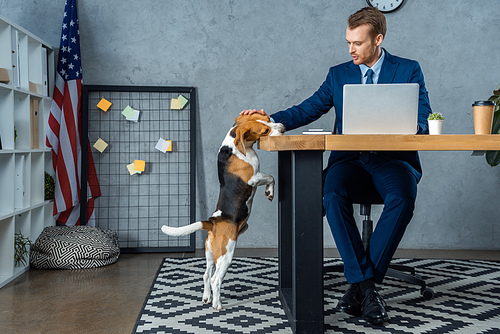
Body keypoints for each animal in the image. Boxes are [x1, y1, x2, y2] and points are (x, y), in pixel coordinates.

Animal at [161, 113, 284, 310]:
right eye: (265, 130)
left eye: (267, 119)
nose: (282, 128)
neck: (233, 145)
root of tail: (212, 221)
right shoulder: (254, 178)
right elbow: (271, 177)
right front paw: (270, 192)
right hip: (226, 255)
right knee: (215, 280)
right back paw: (217, 304)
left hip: (211, 255)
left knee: (206, 275)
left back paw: (207, 298)